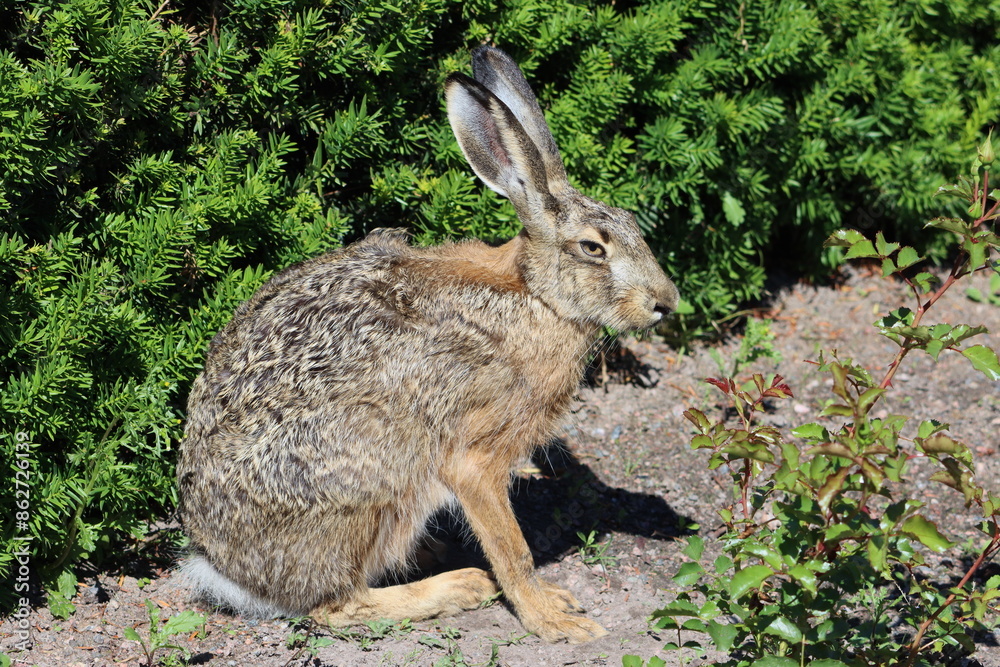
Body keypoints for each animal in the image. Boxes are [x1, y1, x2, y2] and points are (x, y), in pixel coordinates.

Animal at [176, 45, 678, 644]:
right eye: (592, 249)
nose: (666, 302)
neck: (536, 294)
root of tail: (225, 569)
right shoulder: (475, 458)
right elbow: (512, 550)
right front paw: (554, 619)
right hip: (373, 478)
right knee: (336, 605)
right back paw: (461, 586)